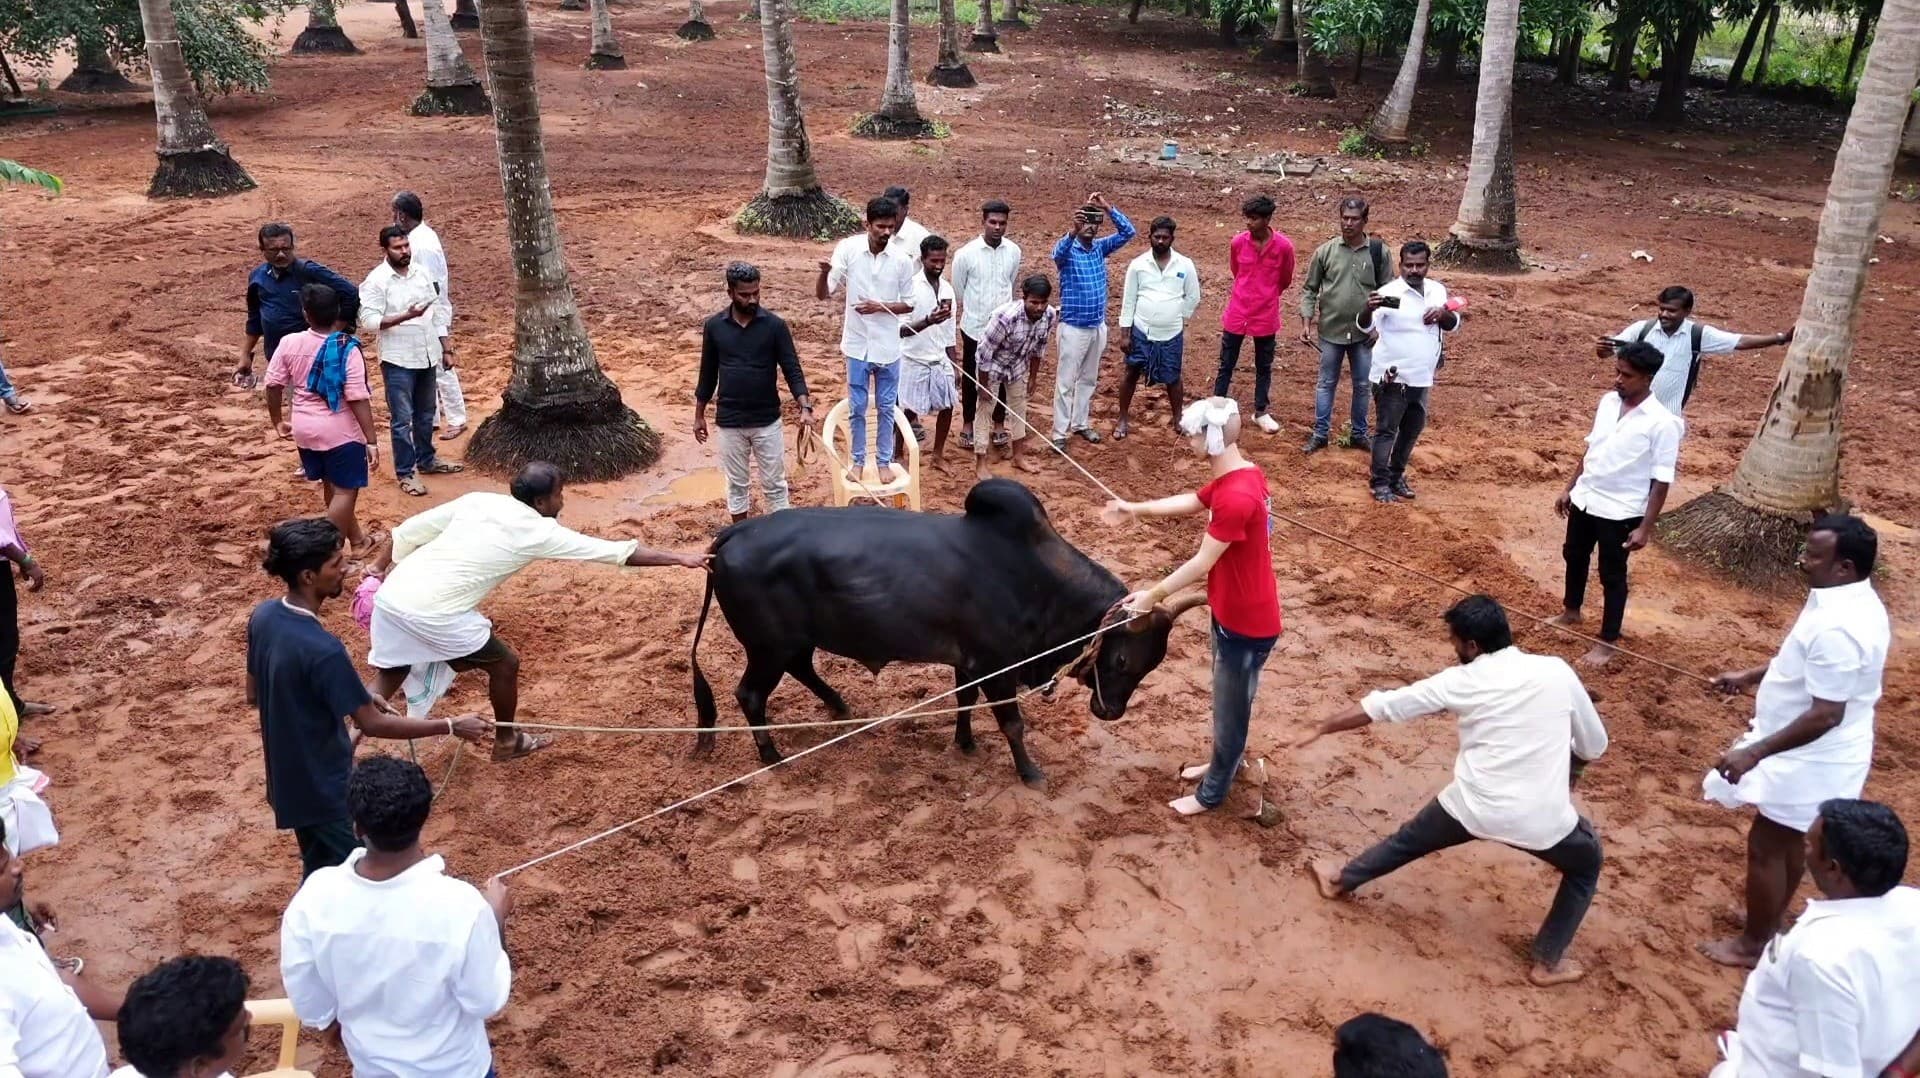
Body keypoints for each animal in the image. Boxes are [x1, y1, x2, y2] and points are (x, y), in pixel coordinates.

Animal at [687, 478, 1198, 780]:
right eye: (1122, 658)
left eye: (1150, 667)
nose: (1110, 712)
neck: (1039, 579)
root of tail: (732, 535)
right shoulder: (998, 667)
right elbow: (1013, 724)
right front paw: (1029, 772)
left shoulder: (968, 663)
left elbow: (964, 702)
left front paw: (965, 743)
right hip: (766, 647)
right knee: (751, 695)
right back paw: (772, 756)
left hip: (790, 643)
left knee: (802, 670)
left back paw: (838, 706)